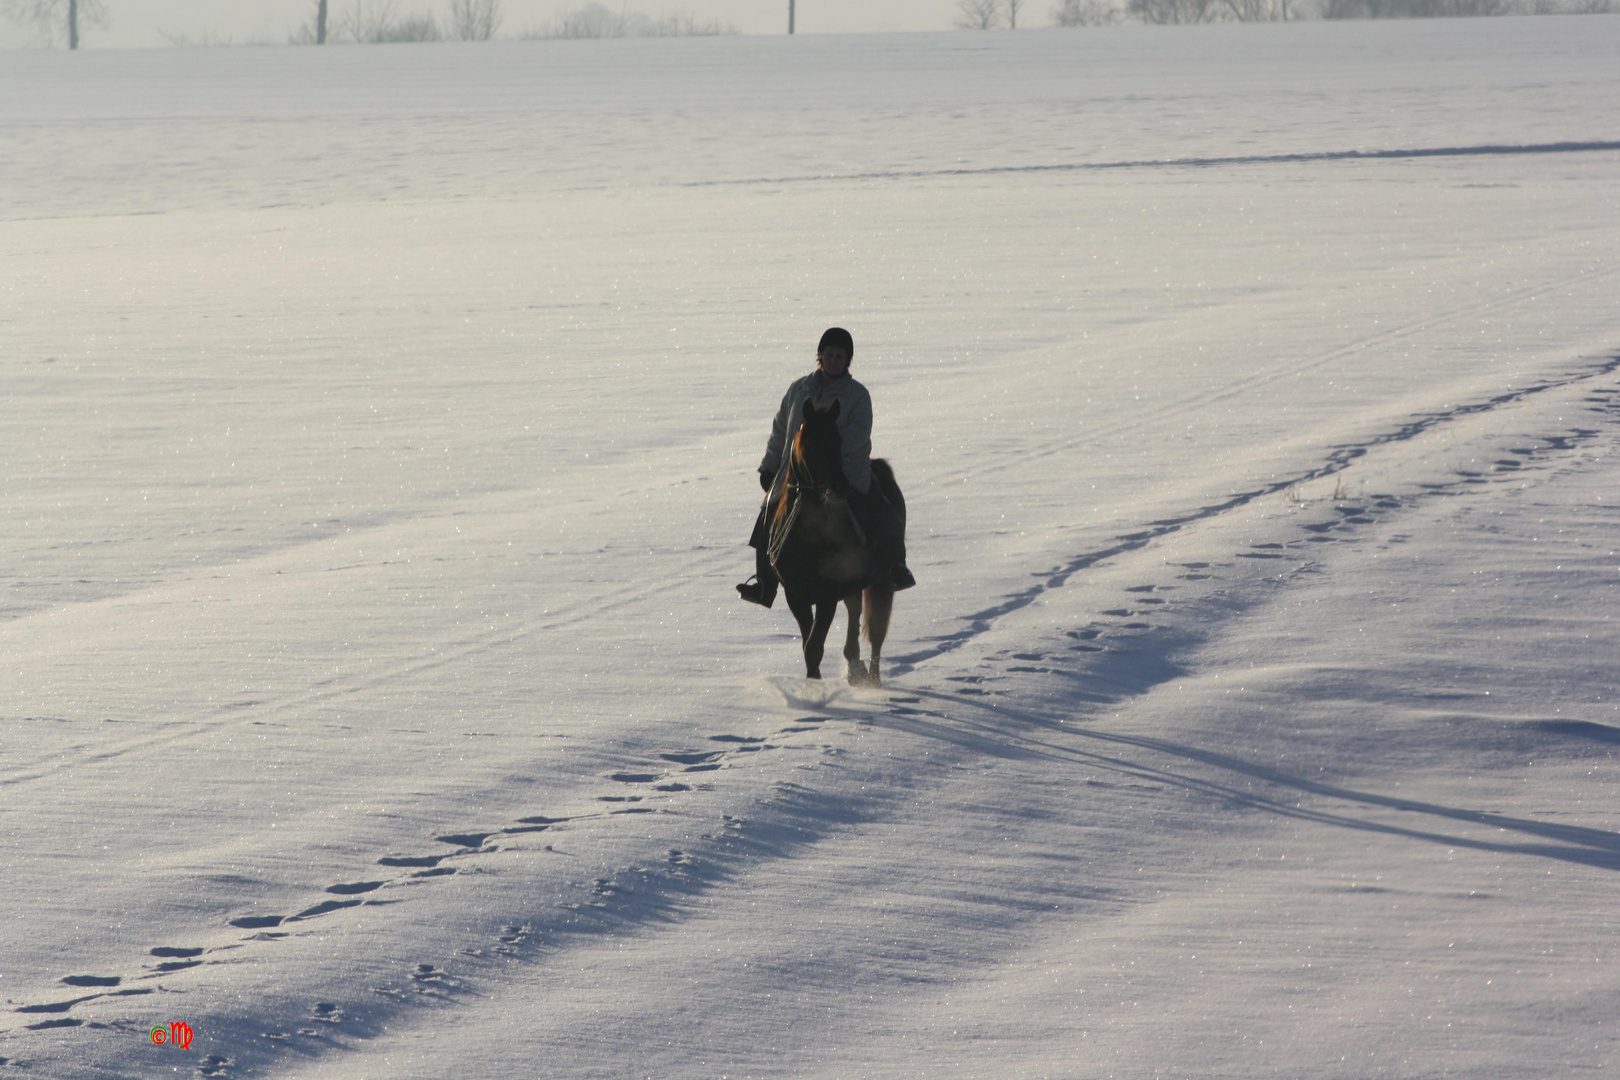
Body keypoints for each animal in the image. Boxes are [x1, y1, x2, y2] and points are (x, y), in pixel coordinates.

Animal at [767, 401, 907, 689]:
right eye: (810, 441)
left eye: (839, 440)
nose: (840, 487)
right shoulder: (795, 595)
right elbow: (808, 645)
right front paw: (813, 684)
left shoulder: (827, 595)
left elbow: (814, 645)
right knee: (855, 613)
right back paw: (855, 668)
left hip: (883, 581)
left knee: (876, 631)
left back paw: (872, 680)